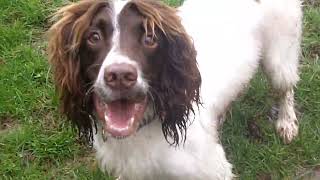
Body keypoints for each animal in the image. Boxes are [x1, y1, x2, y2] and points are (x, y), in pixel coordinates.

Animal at [47, 0, 300, 179]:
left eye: (150, 38)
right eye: (94, 37)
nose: (119, 76)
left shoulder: (214, 170)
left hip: (280, 55)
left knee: (285, 88)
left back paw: (287, 122)